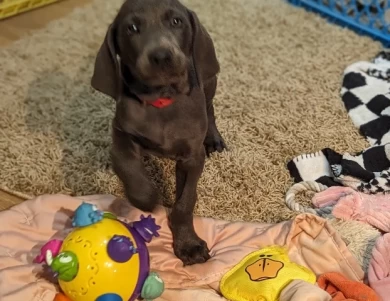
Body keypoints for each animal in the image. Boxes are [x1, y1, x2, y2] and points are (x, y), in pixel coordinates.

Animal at [90, 0, 225, 264]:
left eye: (176, 21)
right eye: (131, 28)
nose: (162, 56)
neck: (161, 100)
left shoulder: (192, 157)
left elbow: (185, 202)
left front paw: (189, 244)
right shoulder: (120, 136)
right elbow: (130, 170)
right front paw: (148, 199)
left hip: (209, 81)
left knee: (210, 108)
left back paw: (214, 138)